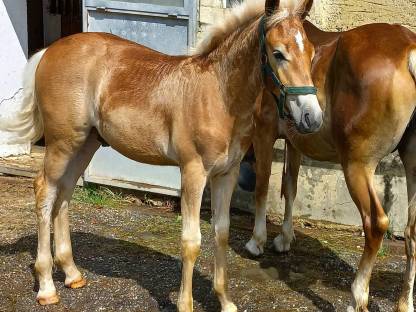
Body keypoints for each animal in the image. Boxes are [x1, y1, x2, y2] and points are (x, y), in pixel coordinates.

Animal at [7, 0, 322, 310]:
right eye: (278, 53)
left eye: (312, 53)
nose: (312, 118)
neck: (218, 95)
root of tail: (50, 50)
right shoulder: (193, 172)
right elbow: (191, 241)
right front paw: (185, 303)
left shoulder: (226, 174)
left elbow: (221, 232)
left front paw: (225, 300)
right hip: (63, 142)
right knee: (44, 191)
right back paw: (47, 287)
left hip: (85, 144)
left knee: (64, 194)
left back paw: (72, 274)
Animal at [245, 9, 416, 312]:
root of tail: (409, 49)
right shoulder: (295, 141)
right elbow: (290, 187)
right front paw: (285, 238)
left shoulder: (263, 133)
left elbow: (263, 186)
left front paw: (257, 241)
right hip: (412, 163)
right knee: (413, 232)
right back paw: (405, 303)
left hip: (357, 166)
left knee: (375, 223)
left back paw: (357, 297)